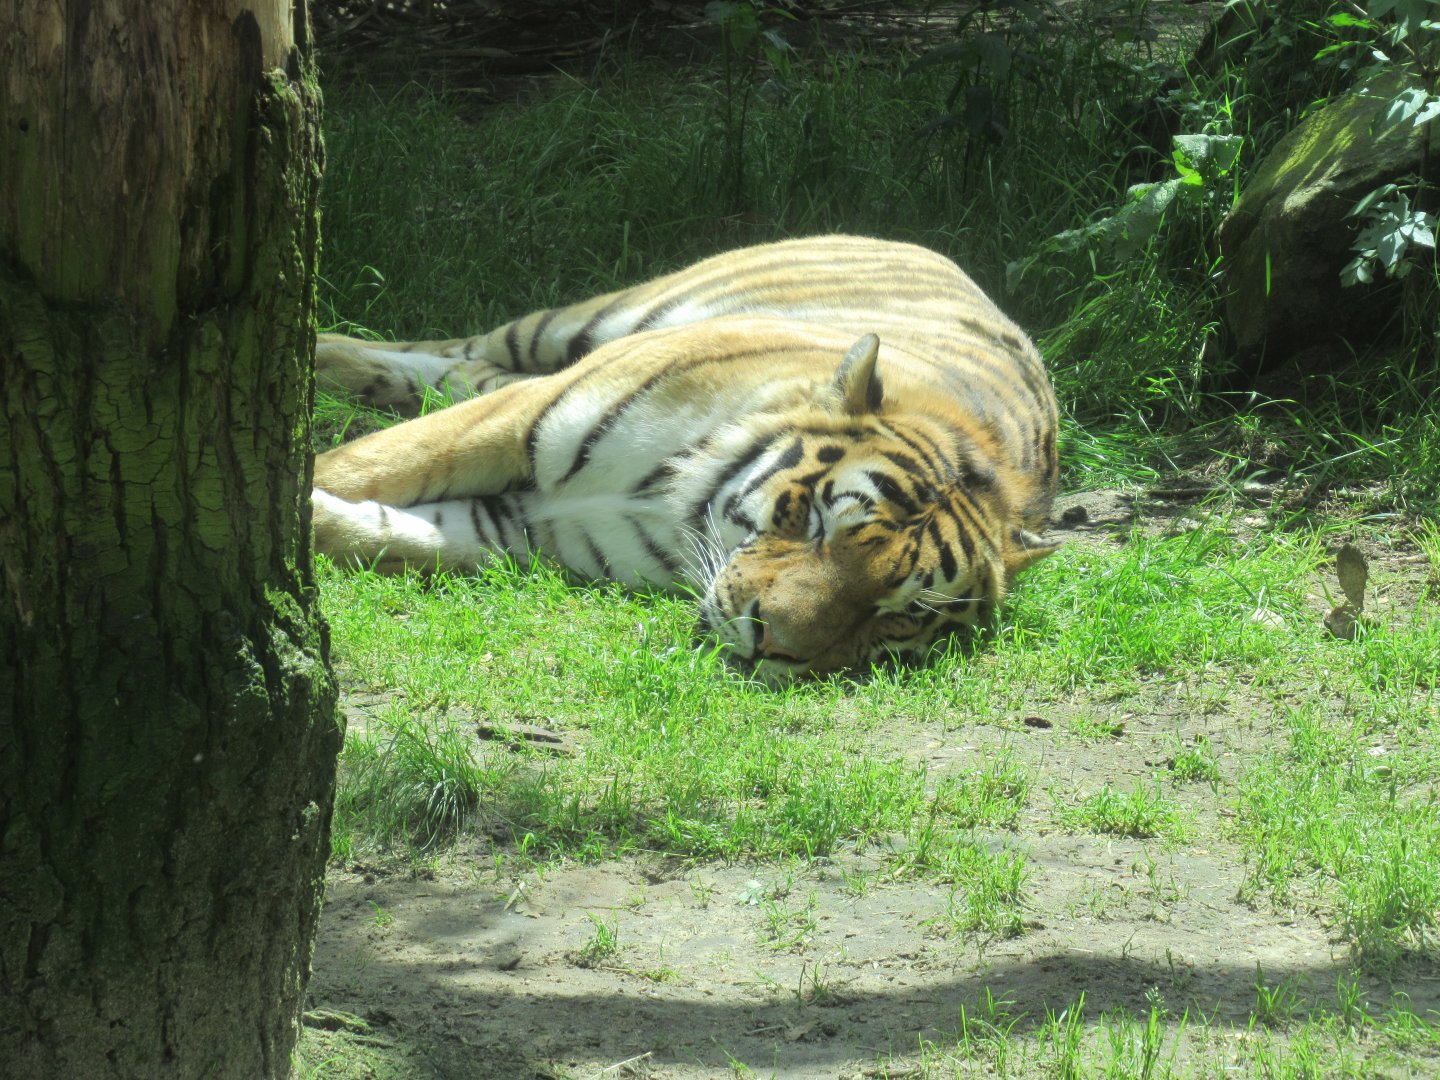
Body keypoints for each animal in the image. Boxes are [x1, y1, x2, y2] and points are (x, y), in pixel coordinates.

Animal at [312, 235, 1060, 684]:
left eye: (896, 613)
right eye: (819, 522)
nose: (770, 642)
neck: (678, 508)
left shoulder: (526, 530)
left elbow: (391, 532)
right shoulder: (526, 417)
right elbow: (365, 465)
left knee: (463, 370)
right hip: (581, 323)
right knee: (457, 347)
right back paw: (318, 350)